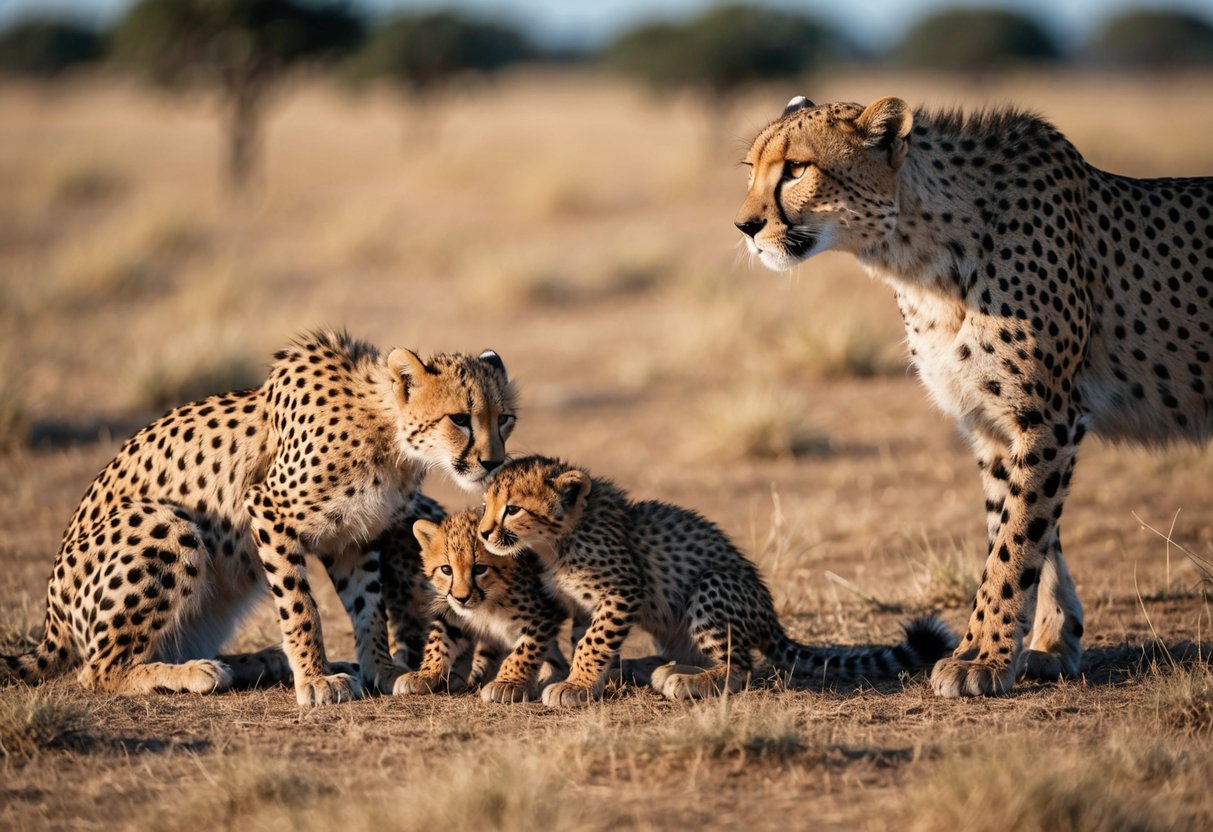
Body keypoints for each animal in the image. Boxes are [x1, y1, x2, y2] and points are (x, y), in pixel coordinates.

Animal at [1, 330, 516, 706]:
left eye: (505, 419)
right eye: (460, 419)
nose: (493, 463)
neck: (389, 435)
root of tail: (51, 621)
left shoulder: (351, 537)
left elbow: (368, 607)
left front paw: (381, 669)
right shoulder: (267, 506)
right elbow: (300, 605)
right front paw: (314, 680)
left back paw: (266, 661)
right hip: (164, 525)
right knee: (96, 672)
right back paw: (198, 674)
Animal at [392, 509, 570, 703]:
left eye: (479, 569)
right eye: (446, 570)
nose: (461, 598)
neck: (489, 604)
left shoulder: (542, 616)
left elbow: (526, 649)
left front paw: (508, 683)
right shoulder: (453, 613)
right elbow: (438, 640)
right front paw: (425, 674)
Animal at [477, 455, 957, 706]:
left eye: (512, 509)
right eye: (485, 505)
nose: (483, 533)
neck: (557, 540)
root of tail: (770, 616)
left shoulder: (621, 590)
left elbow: (594, 642)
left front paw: (576, 684)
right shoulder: (583, 604)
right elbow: (586, 639)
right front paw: (590, 681)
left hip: (713, 583)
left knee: (740, 666)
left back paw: (687, 680)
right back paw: (656, 667)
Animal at [734, 94, 1213, 697]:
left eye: (797, 168)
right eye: (750, 169)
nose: (745, 225)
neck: (920, 254)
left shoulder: (1047, 418)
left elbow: (1016, 540)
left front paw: (982, 657)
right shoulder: (993, 425)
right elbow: (1023, 531)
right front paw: (1050, 643)